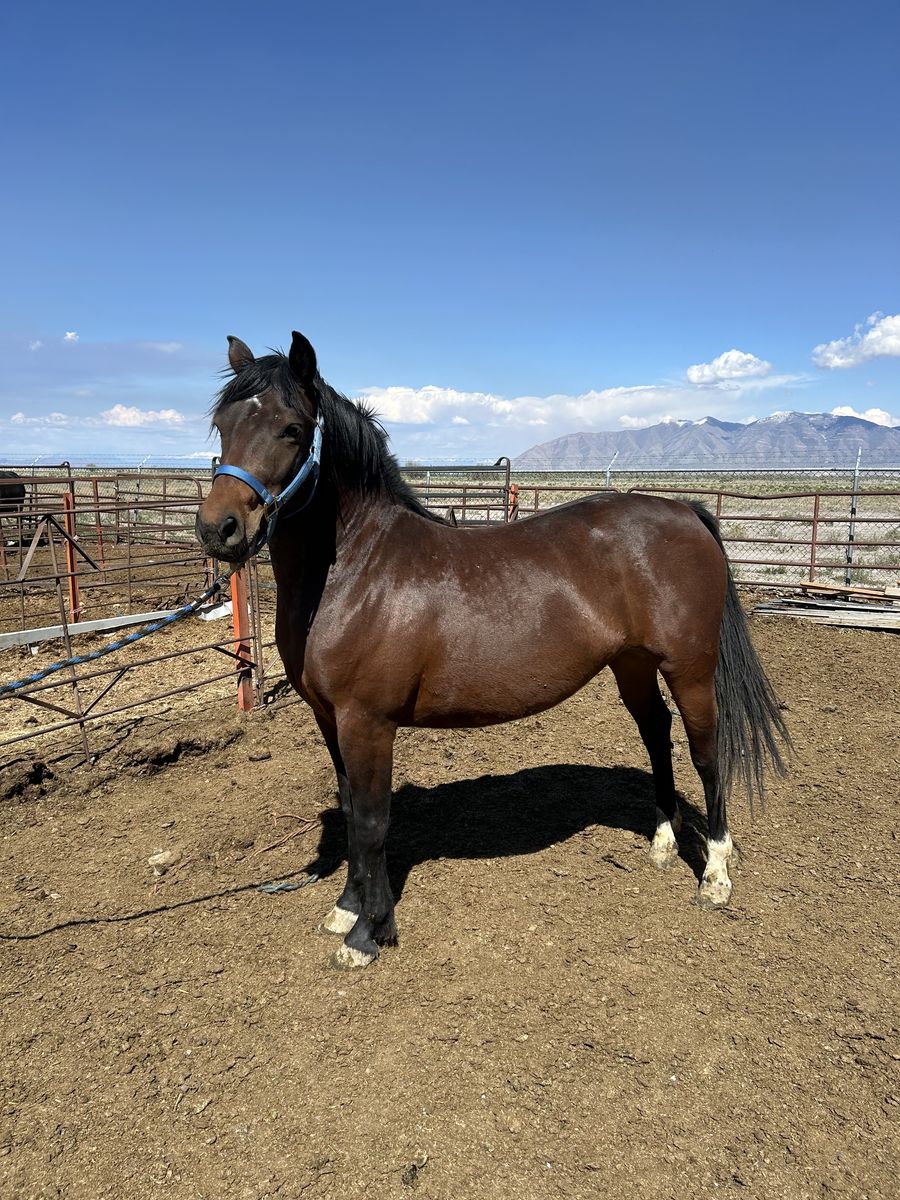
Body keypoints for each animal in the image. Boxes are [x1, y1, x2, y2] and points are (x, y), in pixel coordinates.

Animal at [196, 331, 789, 969]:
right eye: (222, 424)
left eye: (291, 428)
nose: (218, 529)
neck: (357, 569)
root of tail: (687, 513)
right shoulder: (329, 718)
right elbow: (353, 809)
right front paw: (346, 910)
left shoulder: (367, 722)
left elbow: (374, 821)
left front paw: (368, 934)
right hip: (631, 664)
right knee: (657, 733)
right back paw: (660, 844)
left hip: (691, 669)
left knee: (706, 752)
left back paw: (715, 877)